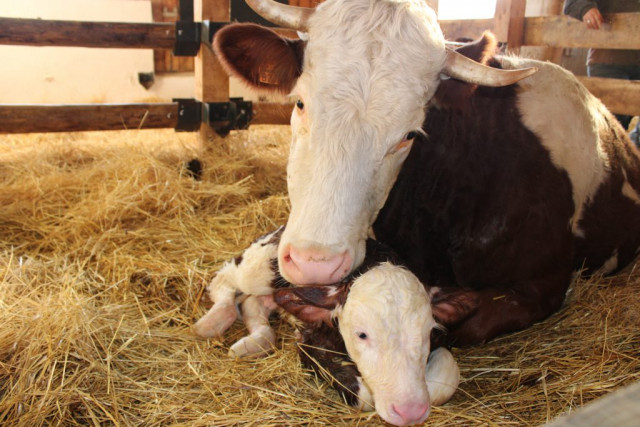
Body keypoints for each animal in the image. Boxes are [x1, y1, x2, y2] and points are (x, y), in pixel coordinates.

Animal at [194, 228, 476, 425]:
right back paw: (213, 321)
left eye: (427, 332)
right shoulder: (309, 341)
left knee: (253, 304)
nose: (409, 412)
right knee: (225, 279)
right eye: (361, 334)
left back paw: (253, 341)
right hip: (260, 267)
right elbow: (364, 397)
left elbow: (445, 378)